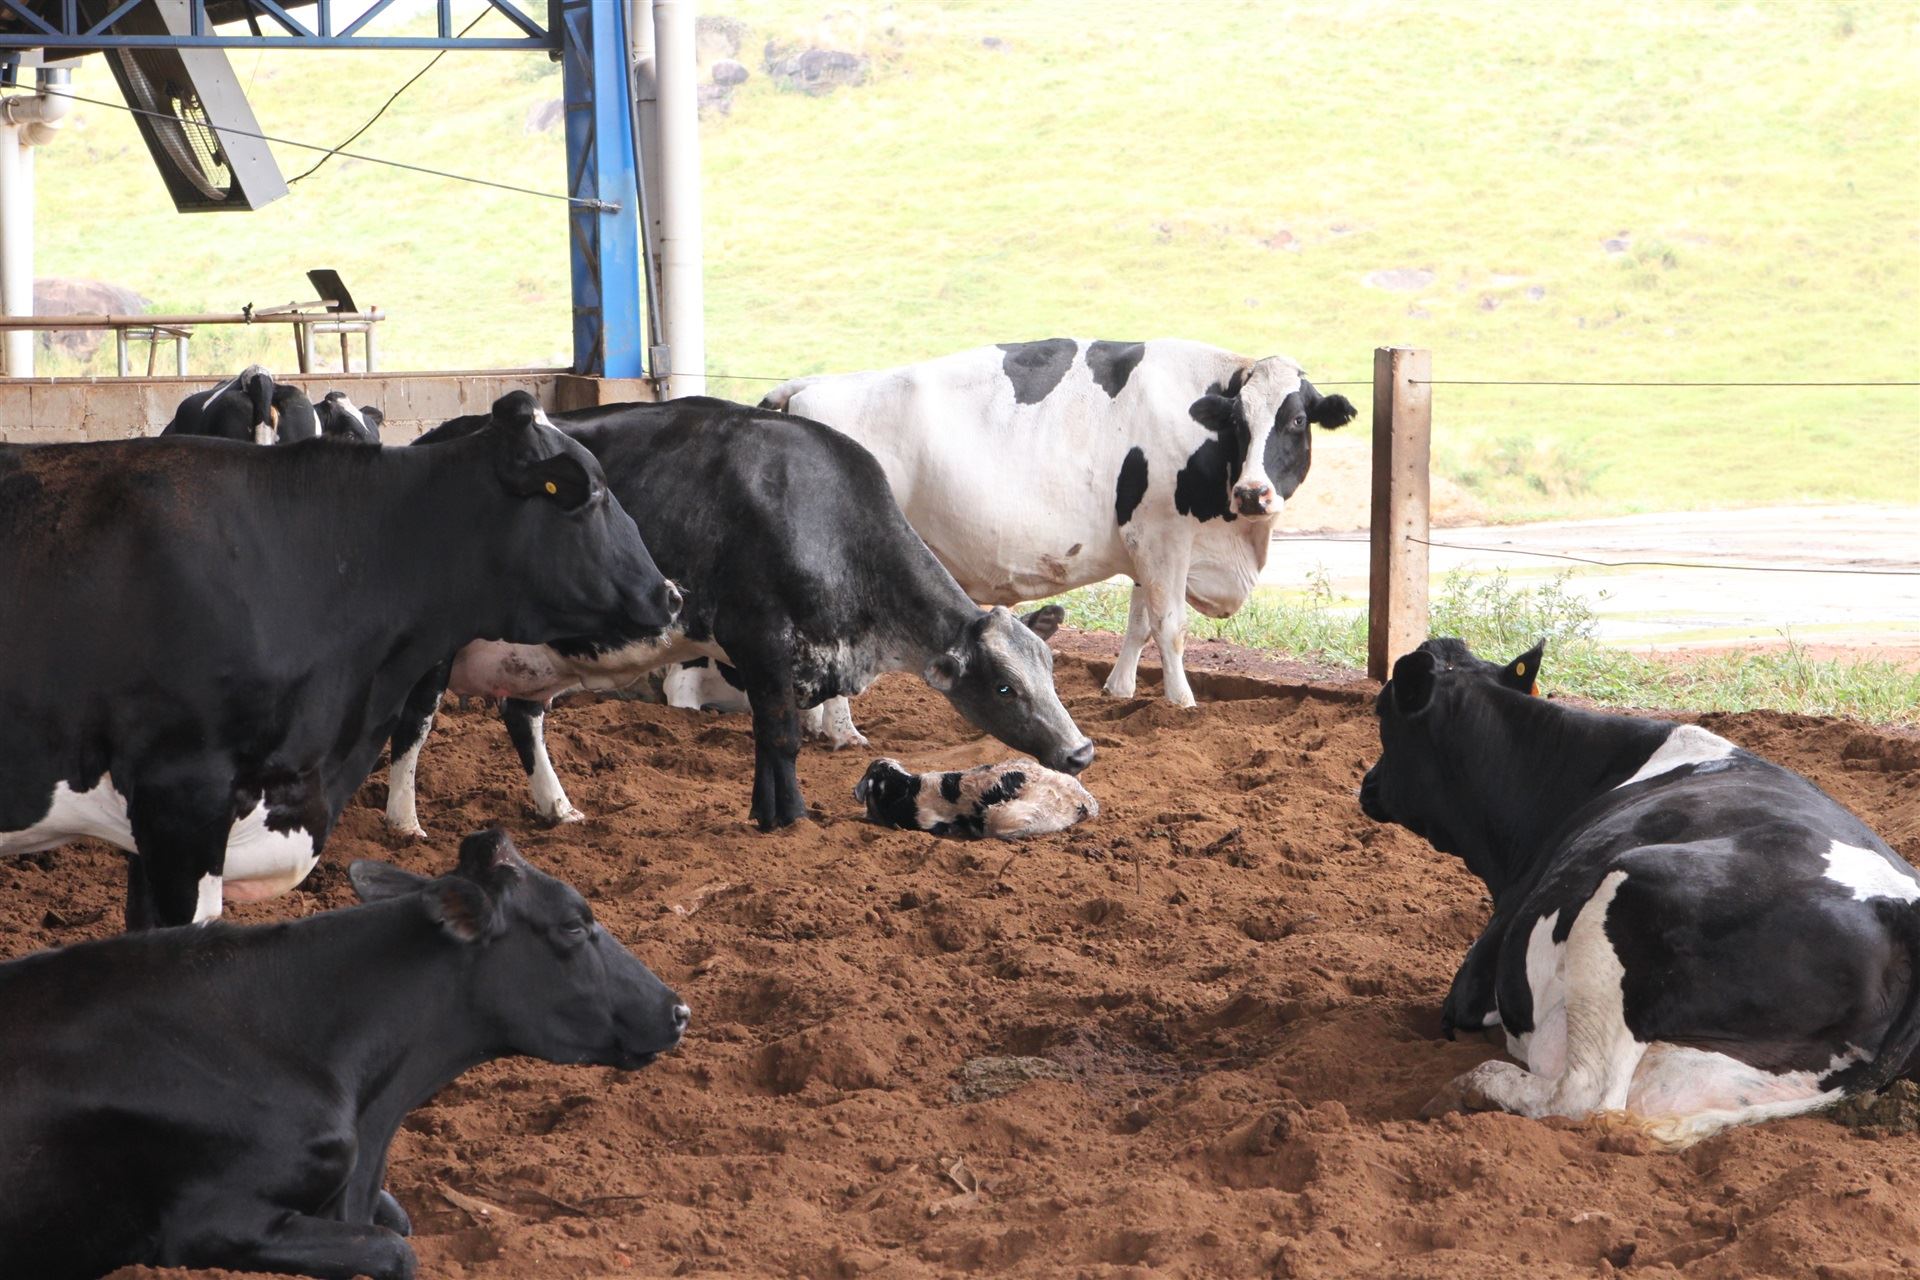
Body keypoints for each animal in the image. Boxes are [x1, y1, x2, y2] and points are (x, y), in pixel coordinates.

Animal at [761, 338, 1356, 708]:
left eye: (1297, 420)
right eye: (1238, 422)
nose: (1252, 492)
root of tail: (810, 387)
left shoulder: (1144, 542)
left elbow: (1139, 622)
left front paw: (1120, 691)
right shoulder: (1163, 534)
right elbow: (1170, 626)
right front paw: (1181, 703)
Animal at [1360, 637, 1920, 1146]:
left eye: (1383, 711)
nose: (1366, 785)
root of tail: (1898, 912)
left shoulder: (1474, 983)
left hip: (1626, 896)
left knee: (1584, 1094)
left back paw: (1473, 1087)